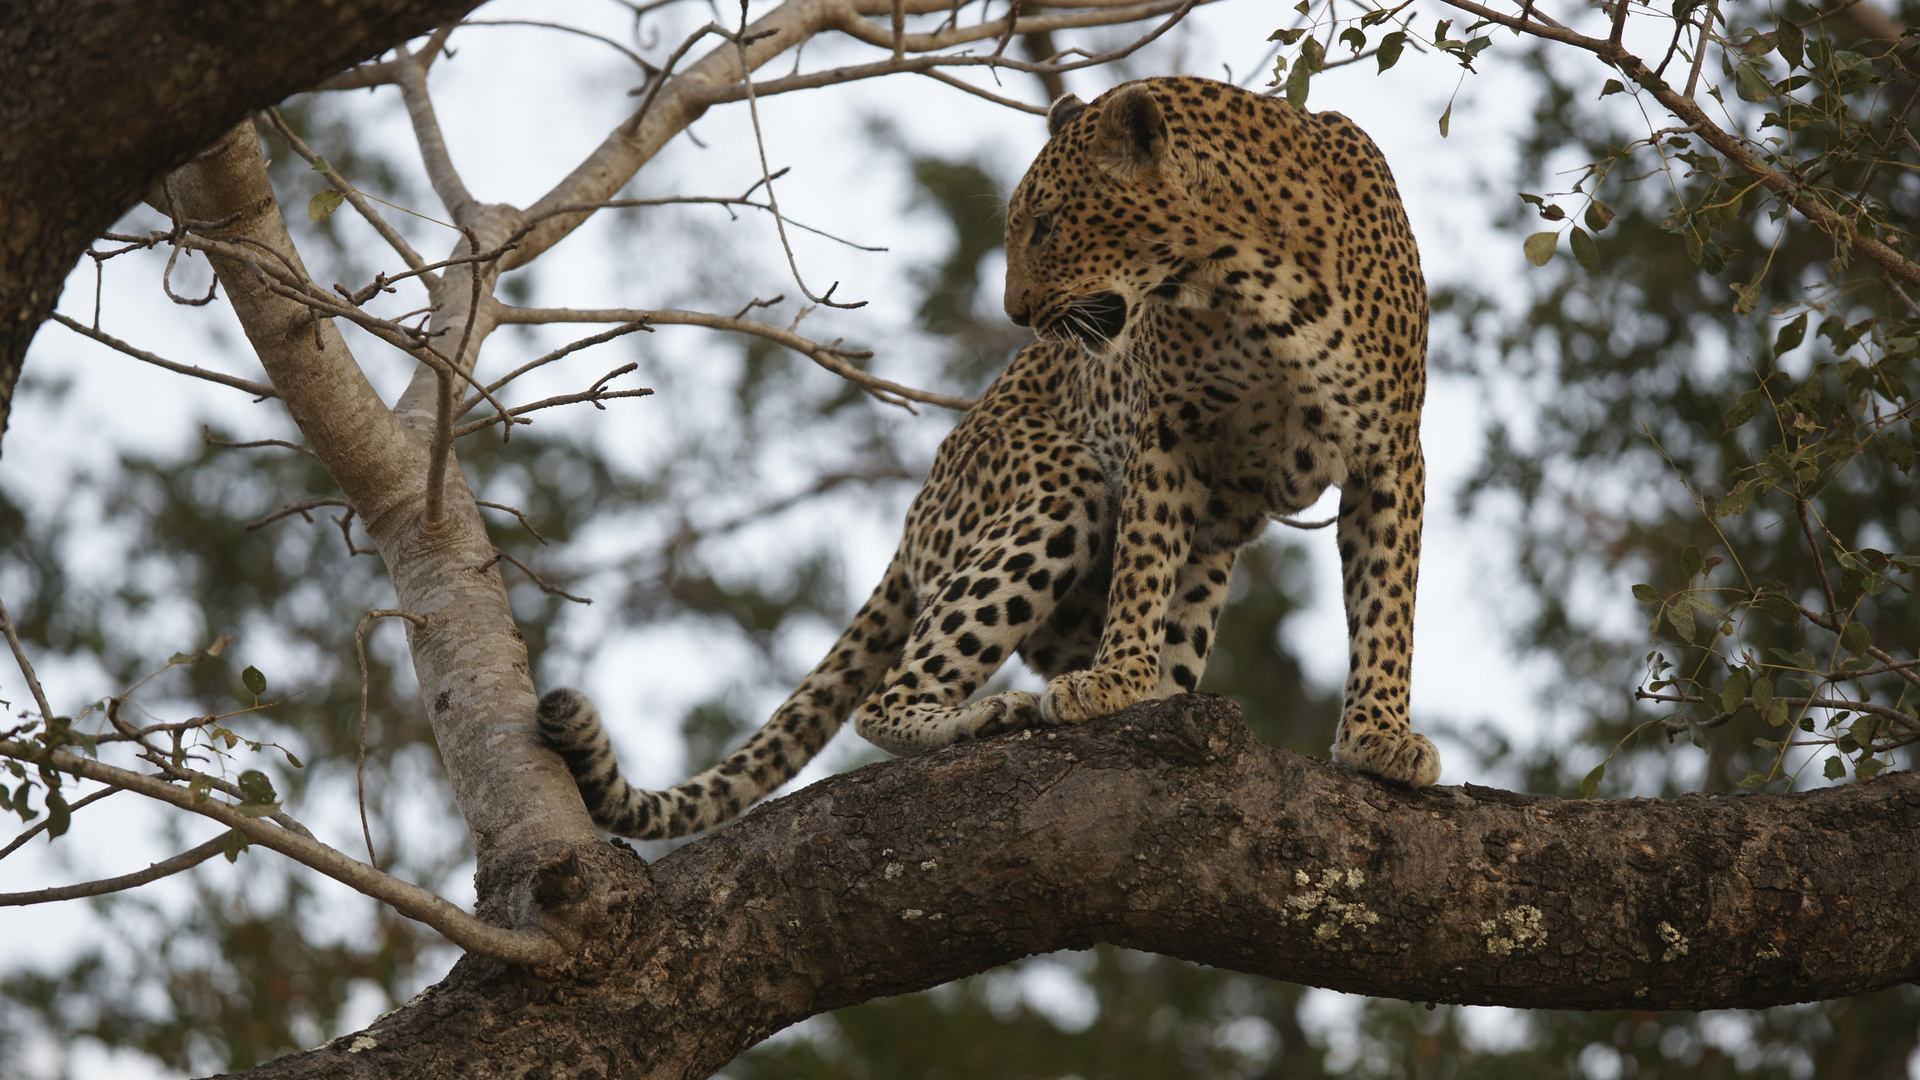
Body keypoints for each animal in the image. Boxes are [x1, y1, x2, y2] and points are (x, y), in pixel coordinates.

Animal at [541, 75, 1443, 841]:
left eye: (1046, 222)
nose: (1015, 313)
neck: (1242, 276)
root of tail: (916, 515)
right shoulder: (1167, 437)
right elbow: (1143, 568)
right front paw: (1113, 681)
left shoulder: (1390, 449)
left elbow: (1388, 600)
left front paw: (1379, 736)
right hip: (1062, 483)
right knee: (890, 697)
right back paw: (997, 714)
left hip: (1197, 541)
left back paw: (1146, 703)